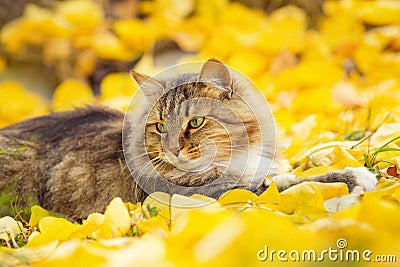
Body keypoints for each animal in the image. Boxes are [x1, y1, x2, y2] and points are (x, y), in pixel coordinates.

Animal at [0, 58, 376, 220]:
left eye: (195, 122)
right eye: (159, 126)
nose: (173, 149)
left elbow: (293, 175)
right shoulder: (219, 194)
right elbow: (291, 186)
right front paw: (354, 178)